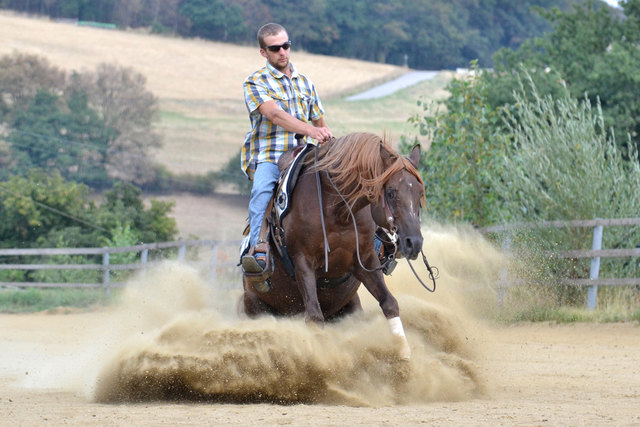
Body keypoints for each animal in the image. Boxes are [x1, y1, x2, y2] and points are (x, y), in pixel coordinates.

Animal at [241, 132, 424, 358]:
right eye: (390, 192)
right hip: (253, 304)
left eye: (419, 193)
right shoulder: (303, 264)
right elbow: (314, 317)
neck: (338, 209)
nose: (414, 242)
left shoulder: (365, 262)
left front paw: (405, 355)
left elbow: (389, 303)